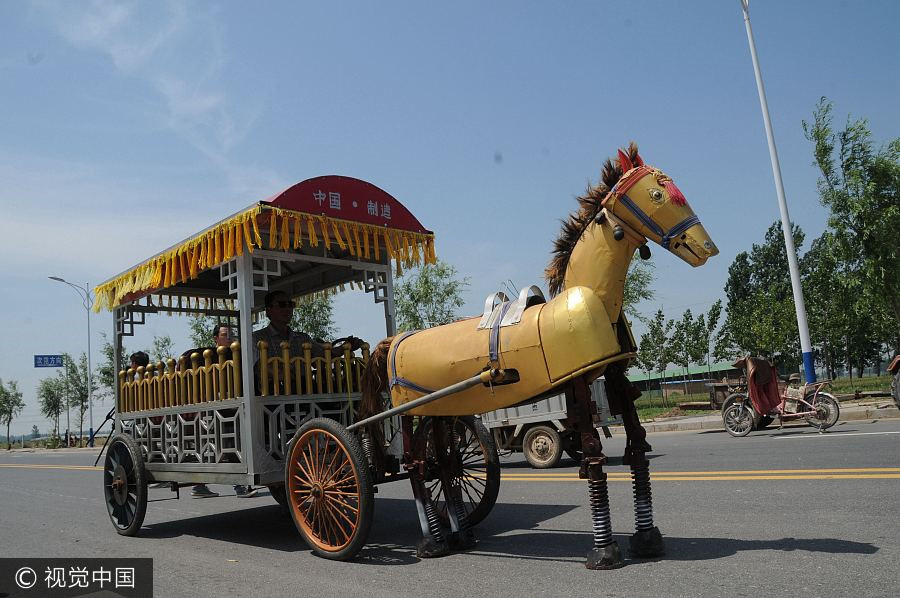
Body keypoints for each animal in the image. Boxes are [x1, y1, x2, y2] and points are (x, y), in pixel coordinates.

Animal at [358, 143, 716, 568]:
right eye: (658, 194)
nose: (706, 249)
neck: (592, 294)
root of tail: (396, 340)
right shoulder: (579, 385)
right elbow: (593, 460)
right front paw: (604, 552)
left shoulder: (614, 376)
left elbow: (637, 451)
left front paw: (647, 540)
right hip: (410, 412)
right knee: (415, 466)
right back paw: (432, 544)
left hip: (441, 410)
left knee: (444, 465)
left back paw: (463, 536)